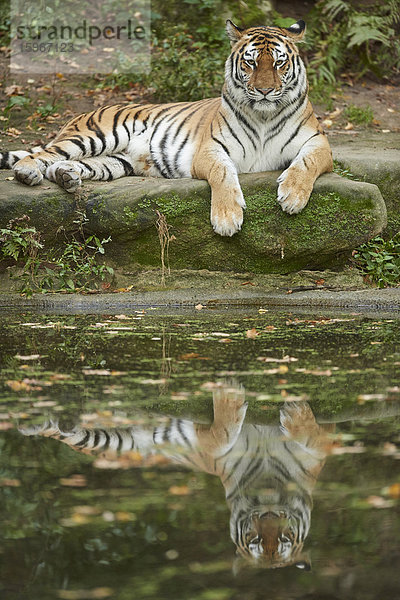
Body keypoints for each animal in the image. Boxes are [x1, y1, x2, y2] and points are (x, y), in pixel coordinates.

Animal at [0, 17, 332, 237]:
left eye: (278, 63)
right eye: (250, 63)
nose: (264, 91)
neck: (264, 116)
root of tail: (81, 115)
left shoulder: (319, 143)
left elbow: (306, 163)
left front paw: (293, 197)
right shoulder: (211, 150)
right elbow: (224, 174)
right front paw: (227, 219)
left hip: (115, 161)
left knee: (63, 165)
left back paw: (67, 177)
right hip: (97, 135)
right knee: (47, 154)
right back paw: (28, 172)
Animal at [21, 384, 334, 568]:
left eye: (284, 537)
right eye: (255, 539)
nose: (269, 516)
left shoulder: (324, 447)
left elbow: (315, 434)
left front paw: (295, 410)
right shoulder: (211, 450)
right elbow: (220, 434)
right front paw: (230, 394)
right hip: (113, 442)